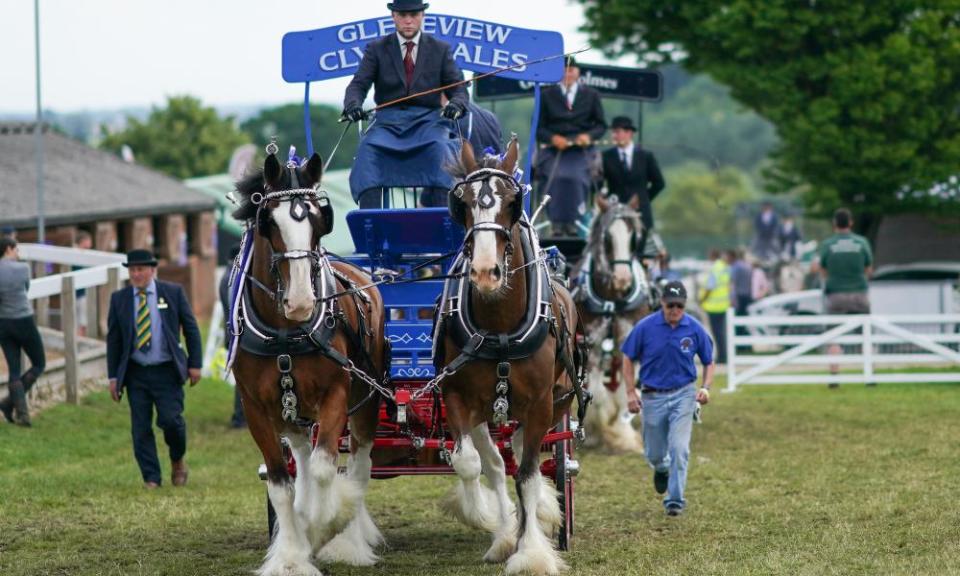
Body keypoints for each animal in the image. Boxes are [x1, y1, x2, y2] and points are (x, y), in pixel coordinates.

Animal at [231, 150, 384, 576]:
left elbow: (324, 468)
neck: (286, 332)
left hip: (365, 399)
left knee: (359, 464)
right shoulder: (255, 408)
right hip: (290, 409)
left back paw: (350, 538)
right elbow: (280, 482)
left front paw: (325, 526)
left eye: (319, 220)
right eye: (269, 223)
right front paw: (291, 554)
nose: (300, 301)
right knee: (300, 452)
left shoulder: (337, 394)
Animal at [436, 140, 584, 576]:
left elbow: (530, 476)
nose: (486, 273)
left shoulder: (539, 404)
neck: (499, 324)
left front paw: (532, 551)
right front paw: (491, 524)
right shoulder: (458, 398)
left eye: (511, 203)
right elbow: (471, 463)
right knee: (498, 464)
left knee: (523, 456)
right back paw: (505, 533)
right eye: (463, 204)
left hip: (558, 400)